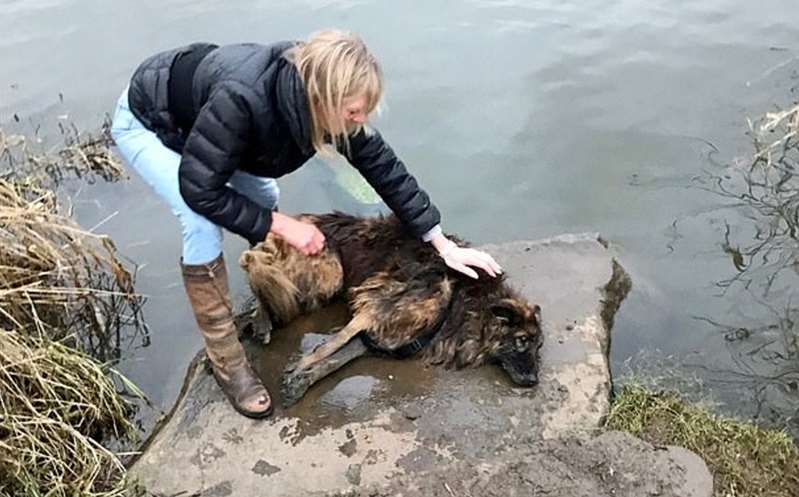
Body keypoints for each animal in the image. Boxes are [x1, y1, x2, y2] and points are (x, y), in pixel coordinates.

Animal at [242, 211, 544, 404]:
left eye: (538, 346)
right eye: (522, 340)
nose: (533, 381)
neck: (463, 299)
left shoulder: (378, 335)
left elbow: (336, 360)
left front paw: (303, 379)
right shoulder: (374, 305)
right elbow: (329, 346)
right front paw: (299, 366)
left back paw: (257, 322)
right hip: (330, 274)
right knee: (258, 270)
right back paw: (261, 319)